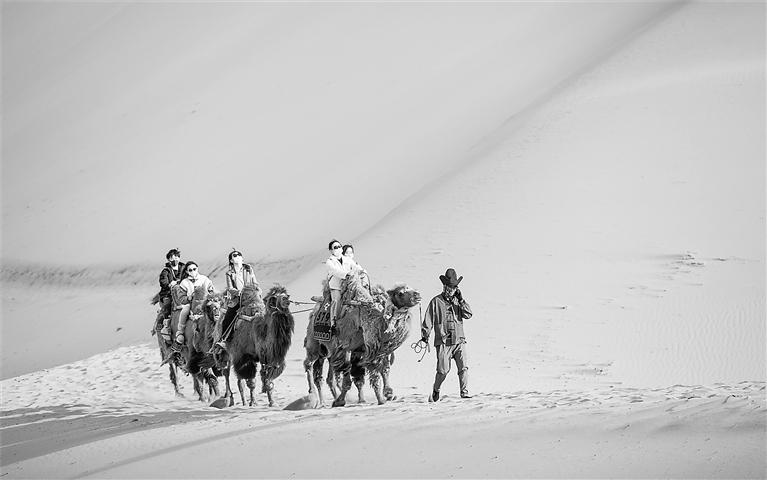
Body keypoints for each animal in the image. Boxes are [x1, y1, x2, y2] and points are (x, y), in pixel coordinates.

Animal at [304, 272, 420, 406]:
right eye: (400, 293)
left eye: (411, 287)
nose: (417, 295)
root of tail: (314, 310)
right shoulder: (347, 348)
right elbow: (351, 375)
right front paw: (342, 401)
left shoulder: (367, 349)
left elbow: (380, 370)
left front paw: (387, 394)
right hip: (314, 344)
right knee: (309, 364)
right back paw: (315, 397)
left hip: (328, 351)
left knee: (328, 377)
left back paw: (329, 400)